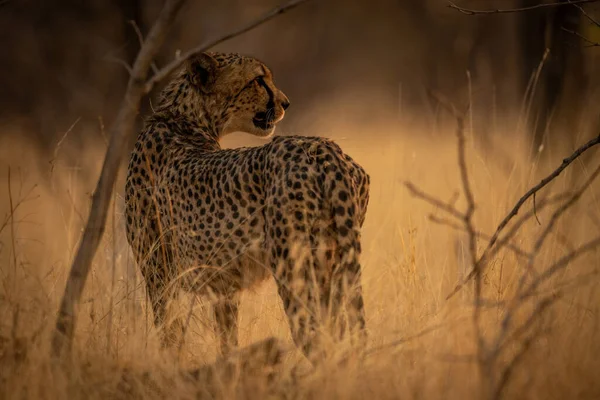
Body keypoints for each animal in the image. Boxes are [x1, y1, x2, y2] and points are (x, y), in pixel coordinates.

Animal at [125, 51, 370, 360]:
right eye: (258, 80)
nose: (286, 103)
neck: (182, 120)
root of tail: (323, 147)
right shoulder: (221, 286)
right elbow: (226, 337)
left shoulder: (159, 275)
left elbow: (169, 335)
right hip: (335, 265)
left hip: (295, 270)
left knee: (316, 340)